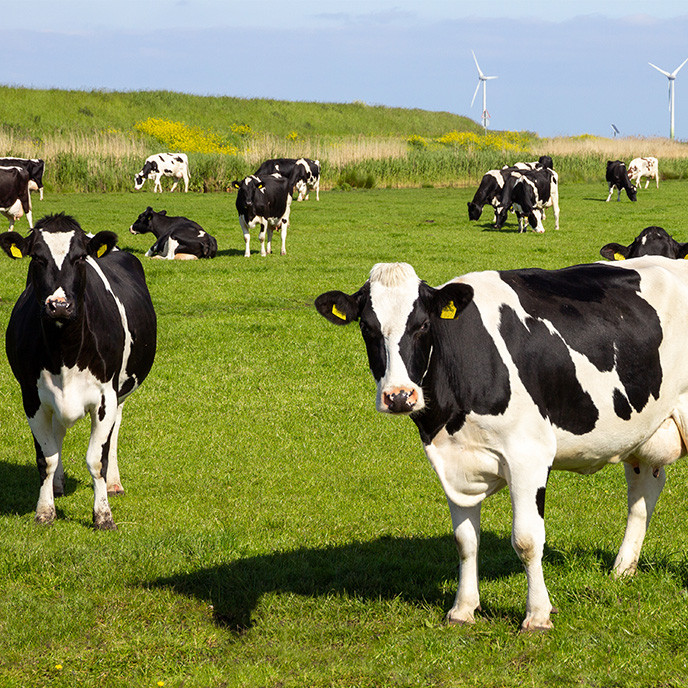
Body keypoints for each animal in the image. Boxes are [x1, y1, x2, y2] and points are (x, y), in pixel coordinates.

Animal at [0, 215, 157, 532]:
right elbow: (46, 458)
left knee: (115, 432)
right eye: (37, 258)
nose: (59, 305)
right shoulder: (31, 398)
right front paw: (45, 511)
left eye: (80, 258)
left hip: (120, 394)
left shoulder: (106, 398)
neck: (65, 352)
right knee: (58, 433)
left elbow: (97, 460)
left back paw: (113, 484)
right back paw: (58, 485)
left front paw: (103, 516)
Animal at [316, 260, 688, 632]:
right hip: (643, 431)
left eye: (422, 325)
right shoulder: (453, 460)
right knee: (644, 493)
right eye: (367, 328)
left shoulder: (528, 455)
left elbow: (527, 539)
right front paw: (463, 609)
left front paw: (537, 615)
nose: (398, 396)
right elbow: (465, 540)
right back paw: (622, 569)